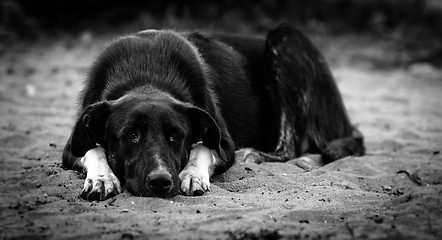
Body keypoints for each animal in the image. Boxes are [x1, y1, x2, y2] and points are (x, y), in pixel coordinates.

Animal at [63, 23, 366, 201]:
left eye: (176, 136)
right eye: (131, 136)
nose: (161, 181)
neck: (146, 74)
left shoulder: (224, 143)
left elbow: (204, 147)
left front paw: (192, 174)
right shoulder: (72, 146)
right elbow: (93, 149)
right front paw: (101, 178)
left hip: (285, 37)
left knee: (290, 148)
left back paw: (261, 154)